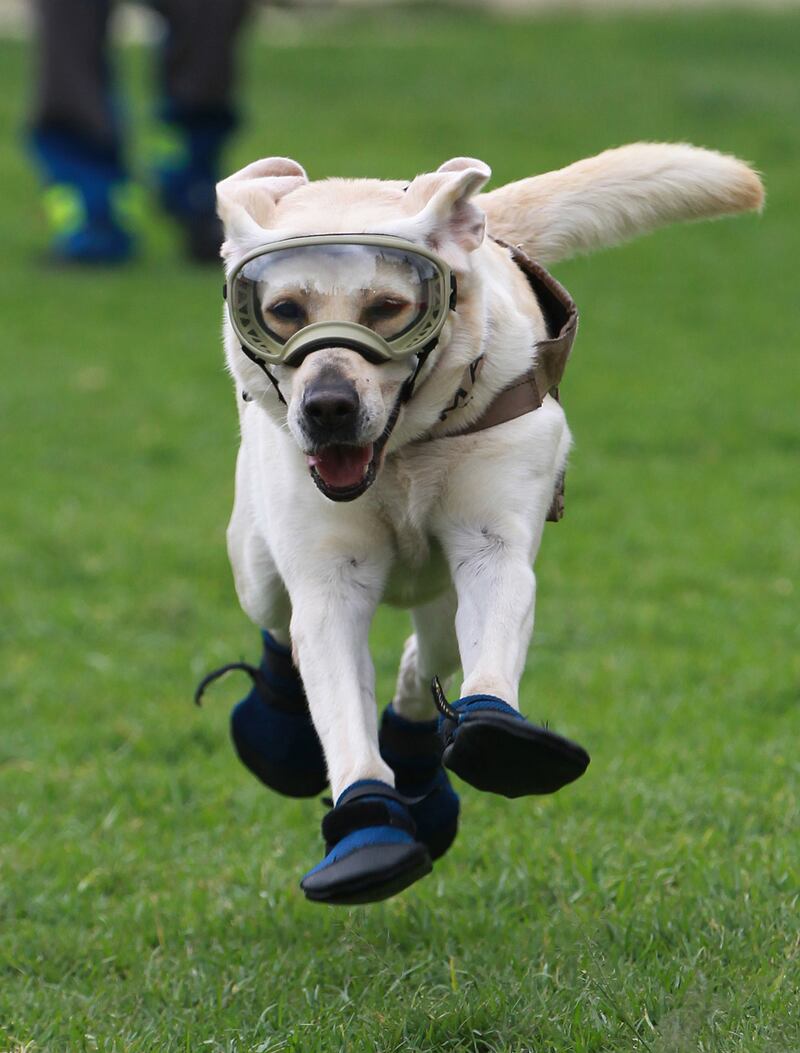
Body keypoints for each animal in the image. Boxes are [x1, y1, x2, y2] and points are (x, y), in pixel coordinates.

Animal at [200, 144, 762, 905]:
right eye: (284, 310)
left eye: (388, 307)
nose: (327, 406)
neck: (403, 454)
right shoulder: (329, 578)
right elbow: (340, 708)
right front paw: (367, 829)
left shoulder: (491, 546)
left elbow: (488, 655)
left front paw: (497, 737)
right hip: (255, 561)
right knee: (279, 626)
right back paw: (279, 735)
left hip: (436, 593)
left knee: (421, 663)